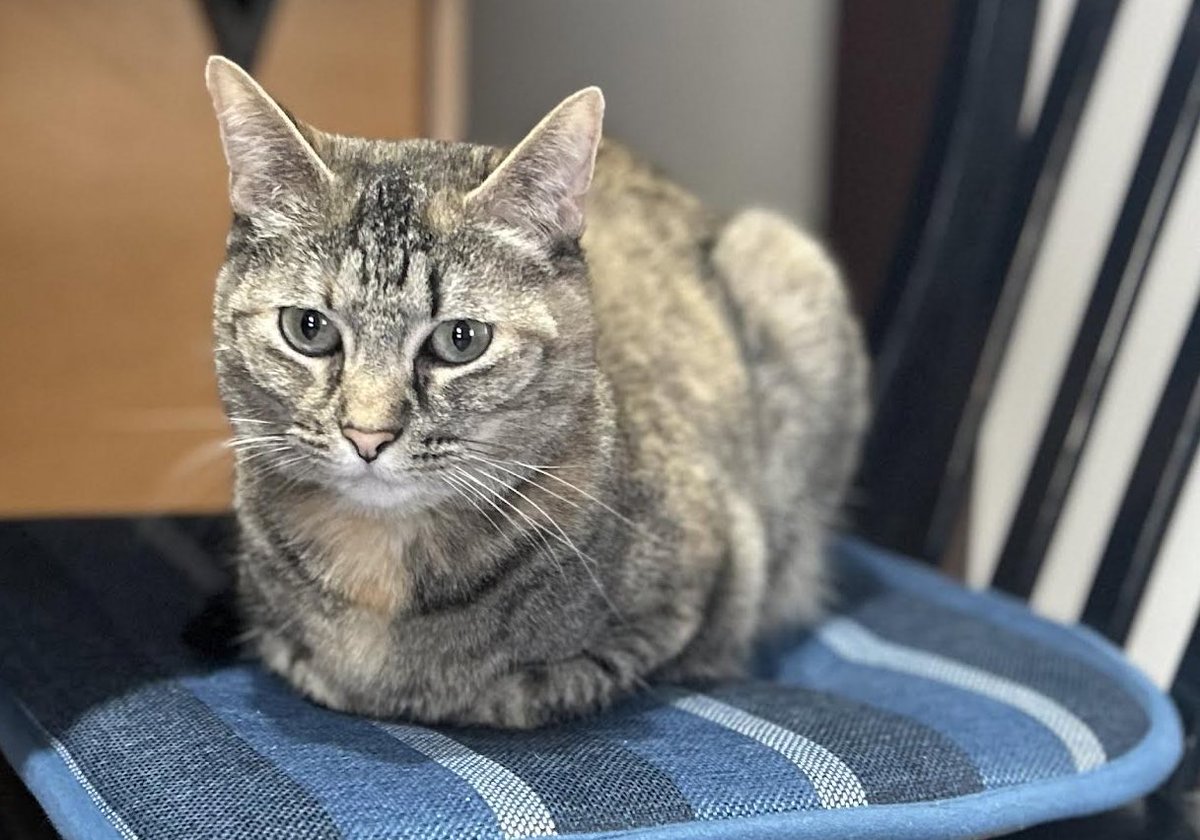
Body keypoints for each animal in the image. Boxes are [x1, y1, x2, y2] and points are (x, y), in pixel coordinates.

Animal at [201, 54, 868, 729]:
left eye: (461, 339)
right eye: (308, 328)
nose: (367, 434)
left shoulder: (708, 581)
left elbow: (554, 679)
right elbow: (295, 655)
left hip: (784, 261)